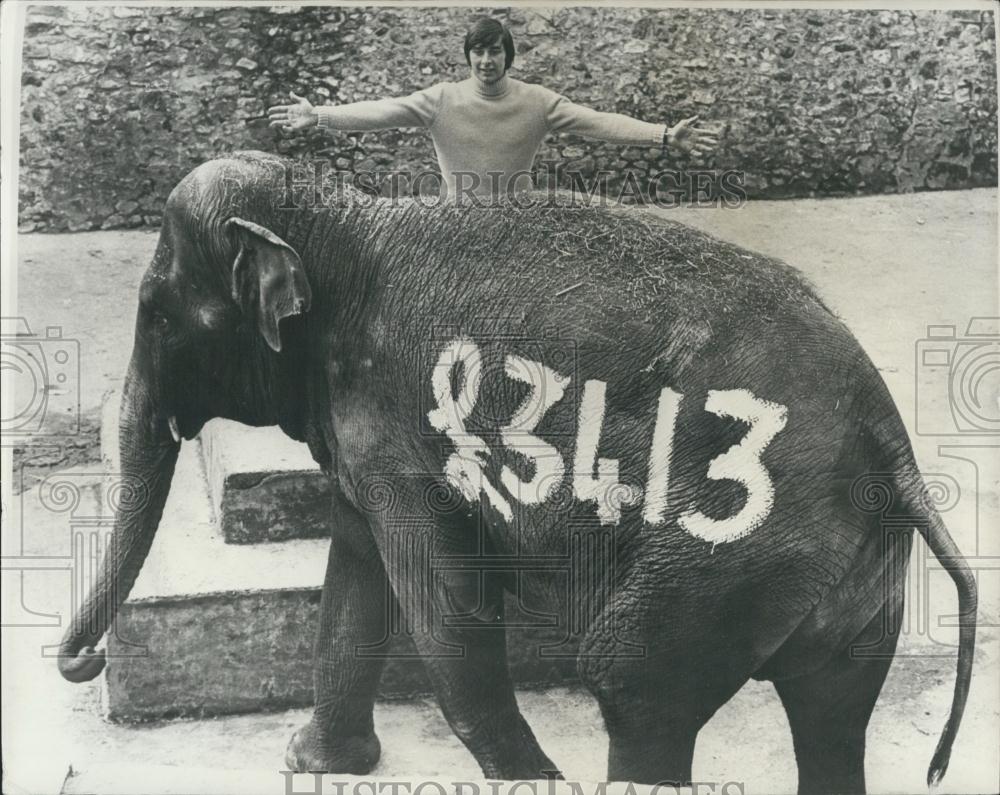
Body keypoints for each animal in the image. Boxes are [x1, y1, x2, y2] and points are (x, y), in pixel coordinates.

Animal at [58, 151, 977, 794]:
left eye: (156, 316)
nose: (82, 662)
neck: (341, 215)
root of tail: (887, 430)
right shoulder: (366, 434)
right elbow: (353, 577)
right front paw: (313, 761)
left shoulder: (400, 431)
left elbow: (445, 607)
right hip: (840, 567)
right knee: (834, 709)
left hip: (736, 546)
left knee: (632, 678)